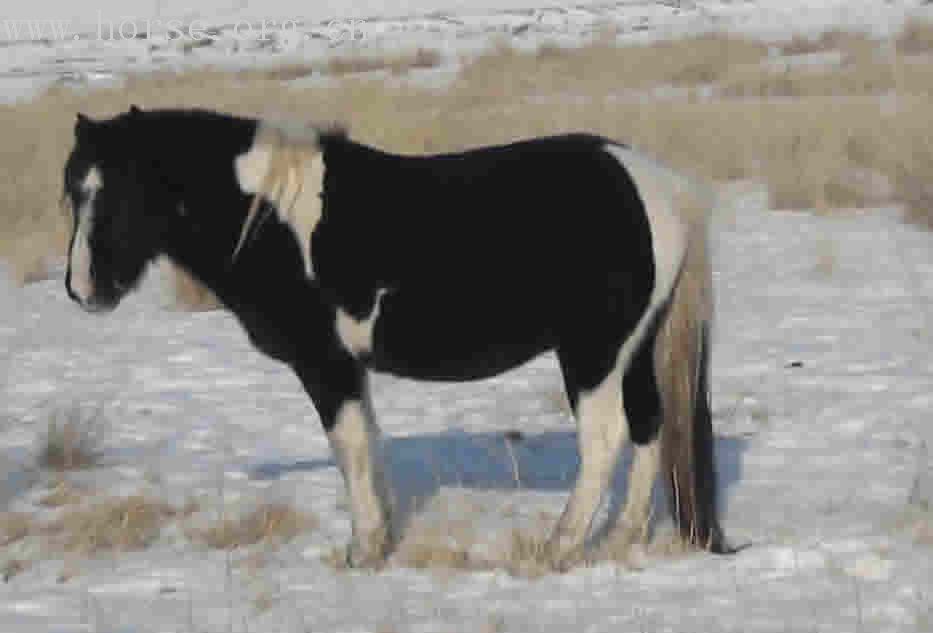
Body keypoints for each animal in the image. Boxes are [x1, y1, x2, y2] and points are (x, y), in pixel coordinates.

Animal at [63, 106, 736, 564]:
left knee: (604, 438)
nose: (81, 289)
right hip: (635, 350)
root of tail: (657, 186)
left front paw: (363, 550)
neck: (274, 218)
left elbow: (350, 448)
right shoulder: (347, 368)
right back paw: (620, 539)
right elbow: (366, 442)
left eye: (120, 191)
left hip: (593, 354)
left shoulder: (324, 363)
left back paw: (559, 545)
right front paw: (380, 539)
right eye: (74, 191)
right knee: (649, 427)